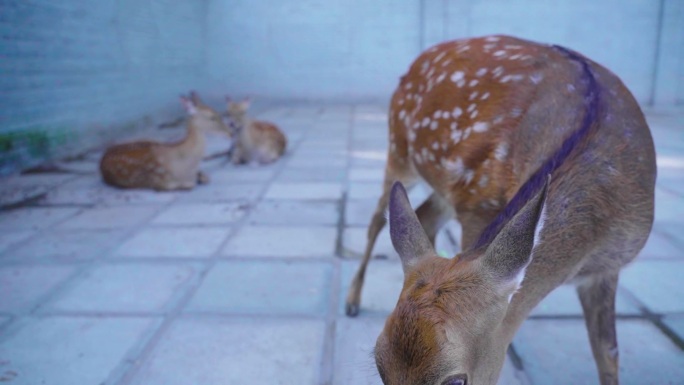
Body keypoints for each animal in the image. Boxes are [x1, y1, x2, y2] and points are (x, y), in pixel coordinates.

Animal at [100, 95, 230, 190]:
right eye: (212, 117)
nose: (230, 132)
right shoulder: (159, 181)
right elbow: (185, 185)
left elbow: (205, 178)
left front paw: (201, 177)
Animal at [348, 35, 656, 384]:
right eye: (379, 365)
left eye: (455, 380)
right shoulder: (476, 207)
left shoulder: (608, 269)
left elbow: (608, 353)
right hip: (400, 149)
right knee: (377, 218)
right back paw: (352, 301)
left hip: (445, 186)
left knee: (423, 217)